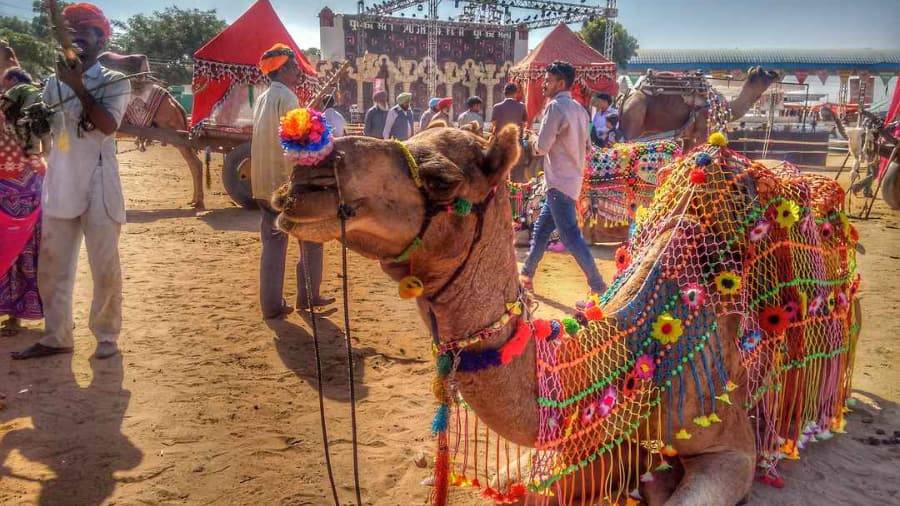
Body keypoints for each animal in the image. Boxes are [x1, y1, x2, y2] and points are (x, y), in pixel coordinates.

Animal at [99, 52, 206, 208]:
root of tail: (175, 102)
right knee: (194, 163)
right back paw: (194, 200)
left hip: (176, 132)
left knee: (195, 163)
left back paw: (198, 202)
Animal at [619, 66, 780, 148]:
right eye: (764, 73)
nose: (776, 73)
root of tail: (626, 98)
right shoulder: (704, 130)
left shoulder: (688, 136)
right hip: (634, 117)